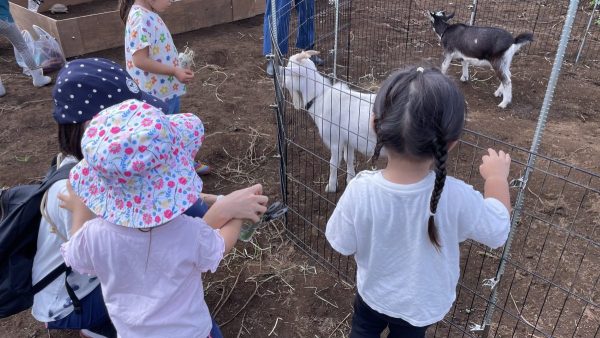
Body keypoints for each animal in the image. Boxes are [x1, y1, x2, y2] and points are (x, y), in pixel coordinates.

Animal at [280, 50, 376, 193]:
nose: (280, 81)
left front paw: (331, 186)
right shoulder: (348, 139)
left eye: (288, 71)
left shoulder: (335, 140)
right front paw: (350, 179)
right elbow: (349, 159)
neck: (320, 97)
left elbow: (333, 163)